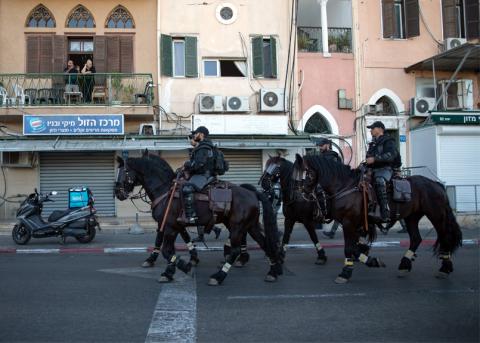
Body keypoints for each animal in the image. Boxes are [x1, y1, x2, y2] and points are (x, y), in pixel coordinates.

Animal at [115, 153, 284, 284]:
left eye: (125, 171)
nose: (117, 192)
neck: (165, 190)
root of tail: (253, 193)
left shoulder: (169, 226)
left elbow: (167, 250)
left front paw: (178, 268)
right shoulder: (174, 225)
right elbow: (175, 242)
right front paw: (178, 265)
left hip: (238, 226)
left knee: (236, 249)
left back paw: (219, 276)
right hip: (250, 225)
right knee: (265, 244)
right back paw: (273, 271)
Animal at [294, 155, 464, 284]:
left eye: (306, 174)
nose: (298, 195)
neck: (345, 187)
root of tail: (436, 184)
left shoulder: (349, 223)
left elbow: (350, 248)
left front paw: (346, 272)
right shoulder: (352, 224)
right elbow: (355, 248)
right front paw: (371, 261)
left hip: (436, 215)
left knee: (445, 237)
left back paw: (445, 268)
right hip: (411, 217)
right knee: (416, 239)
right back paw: (404, 265)